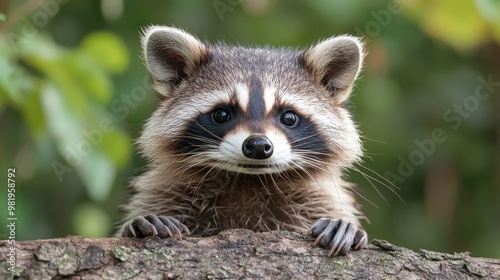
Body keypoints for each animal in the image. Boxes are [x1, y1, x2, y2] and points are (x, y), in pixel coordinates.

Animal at [117, 26, 368, 256]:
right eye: (221, 114)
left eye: (288, 117)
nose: (257, 146)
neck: (248, 180)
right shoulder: (164, 190)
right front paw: (141, 223)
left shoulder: (320, 197)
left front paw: (342, 224)